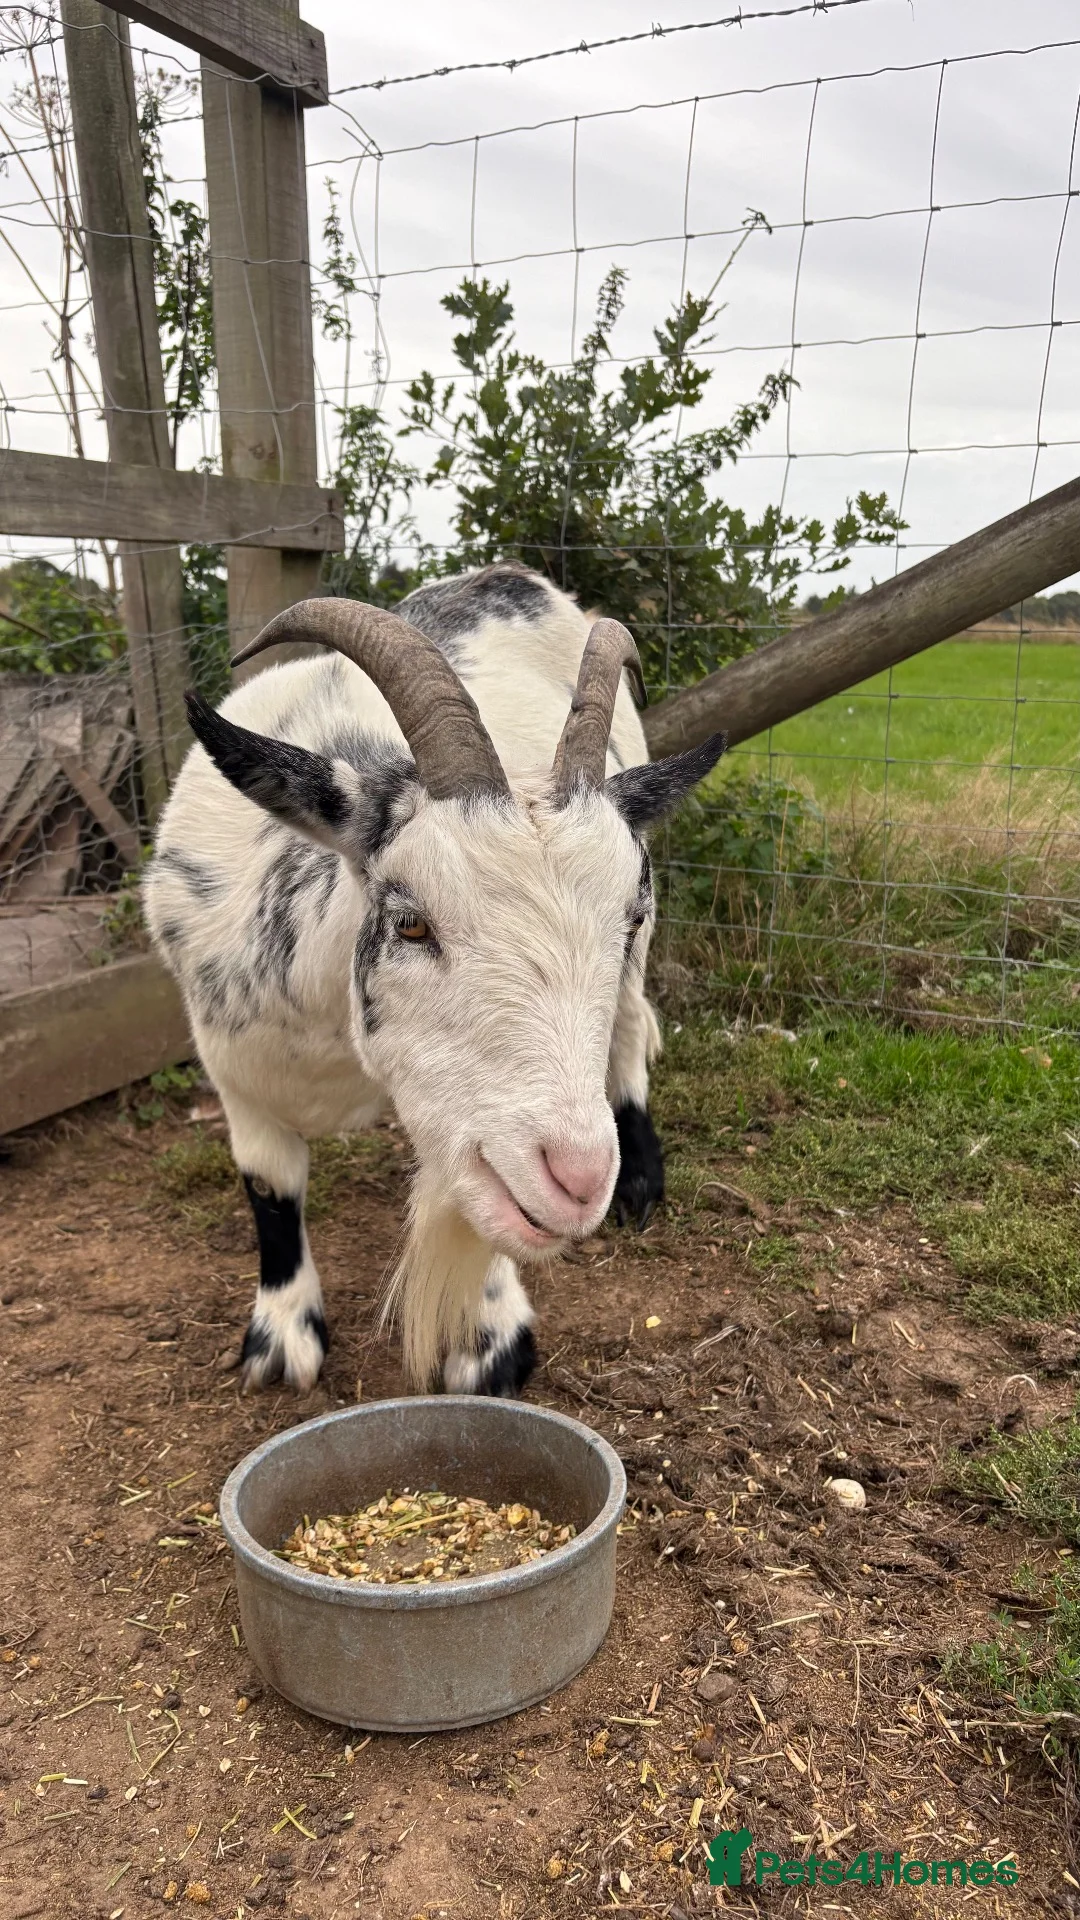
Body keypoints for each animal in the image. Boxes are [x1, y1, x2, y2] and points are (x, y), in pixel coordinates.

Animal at [145, 565, 725, 1395]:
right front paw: (281, 1338)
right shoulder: (233, 1066)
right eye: (411, 923)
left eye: (629, 914)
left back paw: (641, 1180)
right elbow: (270, 1184)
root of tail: (508, 575)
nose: (579, 1179)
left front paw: (491, 1344)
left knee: (626, 1026)